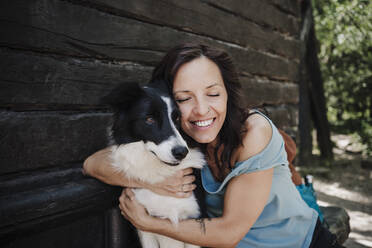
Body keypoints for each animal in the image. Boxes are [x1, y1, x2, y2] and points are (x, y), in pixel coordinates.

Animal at [103, 82, 205, 248]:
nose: (182, 152)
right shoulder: (144, 230)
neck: (161, 172)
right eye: (150, 119)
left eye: (177, 118)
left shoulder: (195, 219)